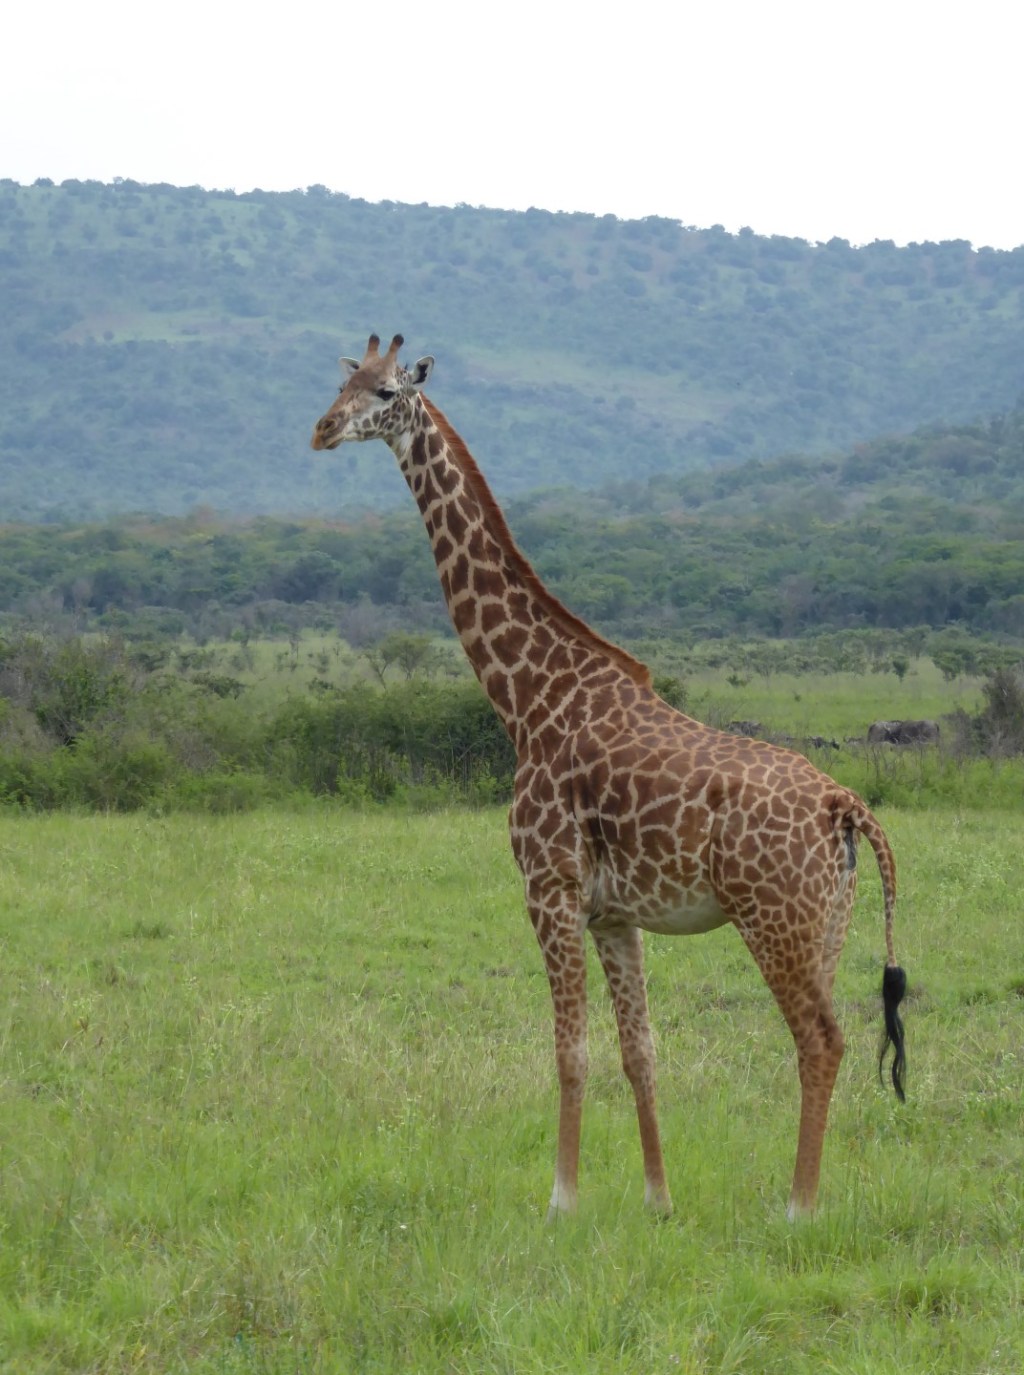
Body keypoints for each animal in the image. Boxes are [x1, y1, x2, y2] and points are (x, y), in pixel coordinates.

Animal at [311, 333, 907, 1219]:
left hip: (774, 919)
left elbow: (571, 1049)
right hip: (829, 921)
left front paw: (562, 1196)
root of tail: (845, 802)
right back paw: (807, 1195)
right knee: (827, 1034)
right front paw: (659, 1196)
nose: (321, 429)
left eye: (384, 391)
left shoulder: (548, 888)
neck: (527, 698)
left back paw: (798, 1206)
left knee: (820, 1038)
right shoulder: (614, 914)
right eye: (342, 381)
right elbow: (639, 1049)